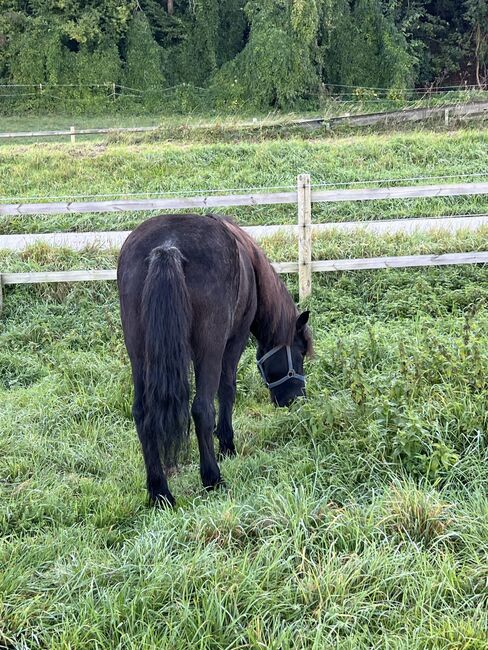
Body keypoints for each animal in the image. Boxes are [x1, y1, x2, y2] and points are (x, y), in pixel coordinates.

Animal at [117, 214, 312, 506]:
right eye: (299, 354)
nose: (296, 399)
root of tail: (167, 247)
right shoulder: (234, 341)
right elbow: (227, 390)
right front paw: (227, 445)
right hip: (209, 346)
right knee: (201, 408)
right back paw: (212, 478)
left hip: (139, 353)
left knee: (142, 413)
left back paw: (160, 492)